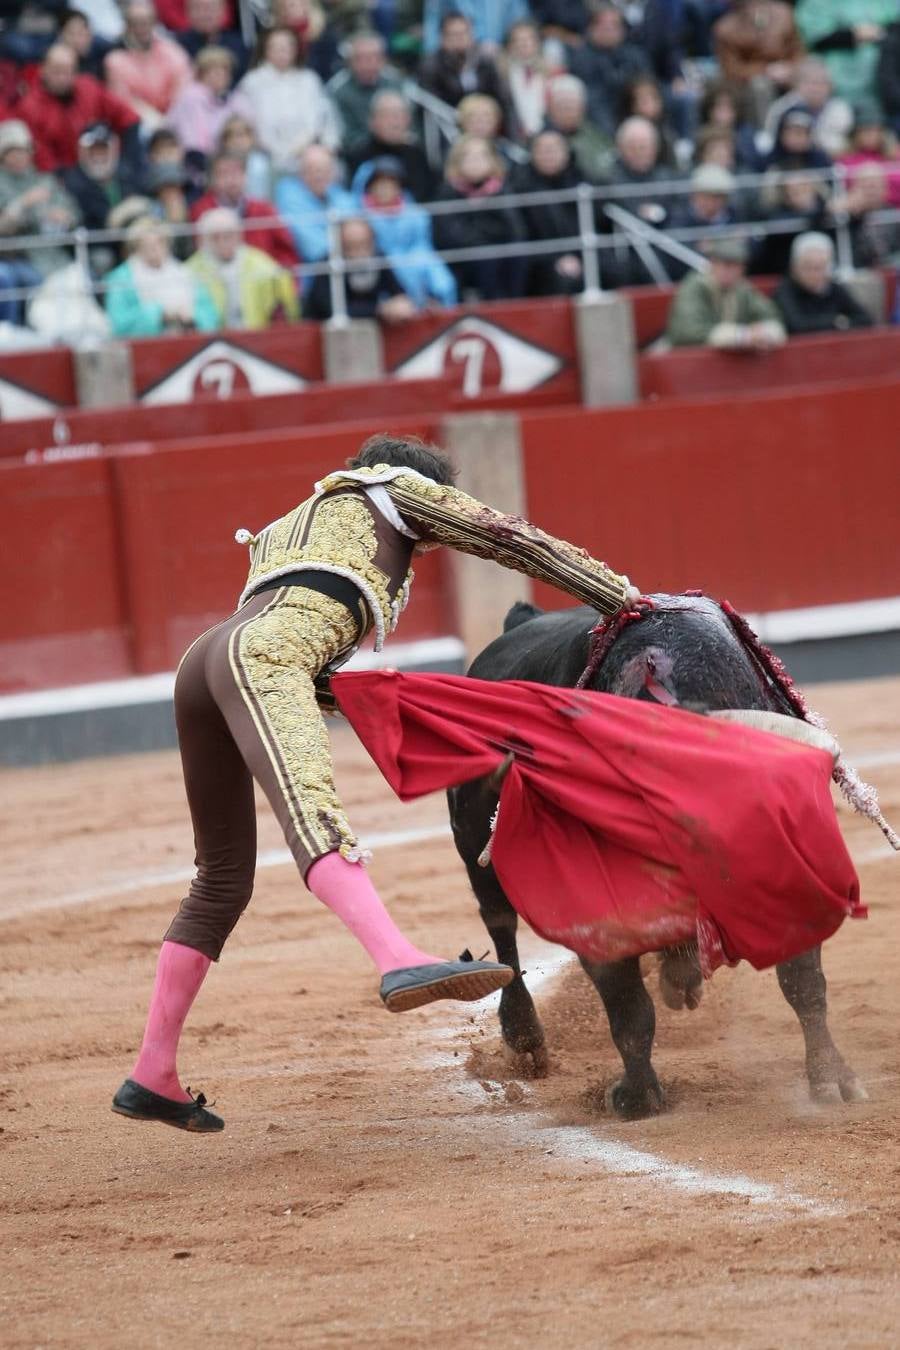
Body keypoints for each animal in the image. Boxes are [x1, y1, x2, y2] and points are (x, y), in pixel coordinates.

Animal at [447, 599, 868, 1117]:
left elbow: (804, 983)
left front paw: (832, 1078)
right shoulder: (596, 914)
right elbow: (629, 1008)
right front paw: (639, 1096)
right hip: (474, 848)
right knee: (502, 927)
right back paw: (526, 1039)